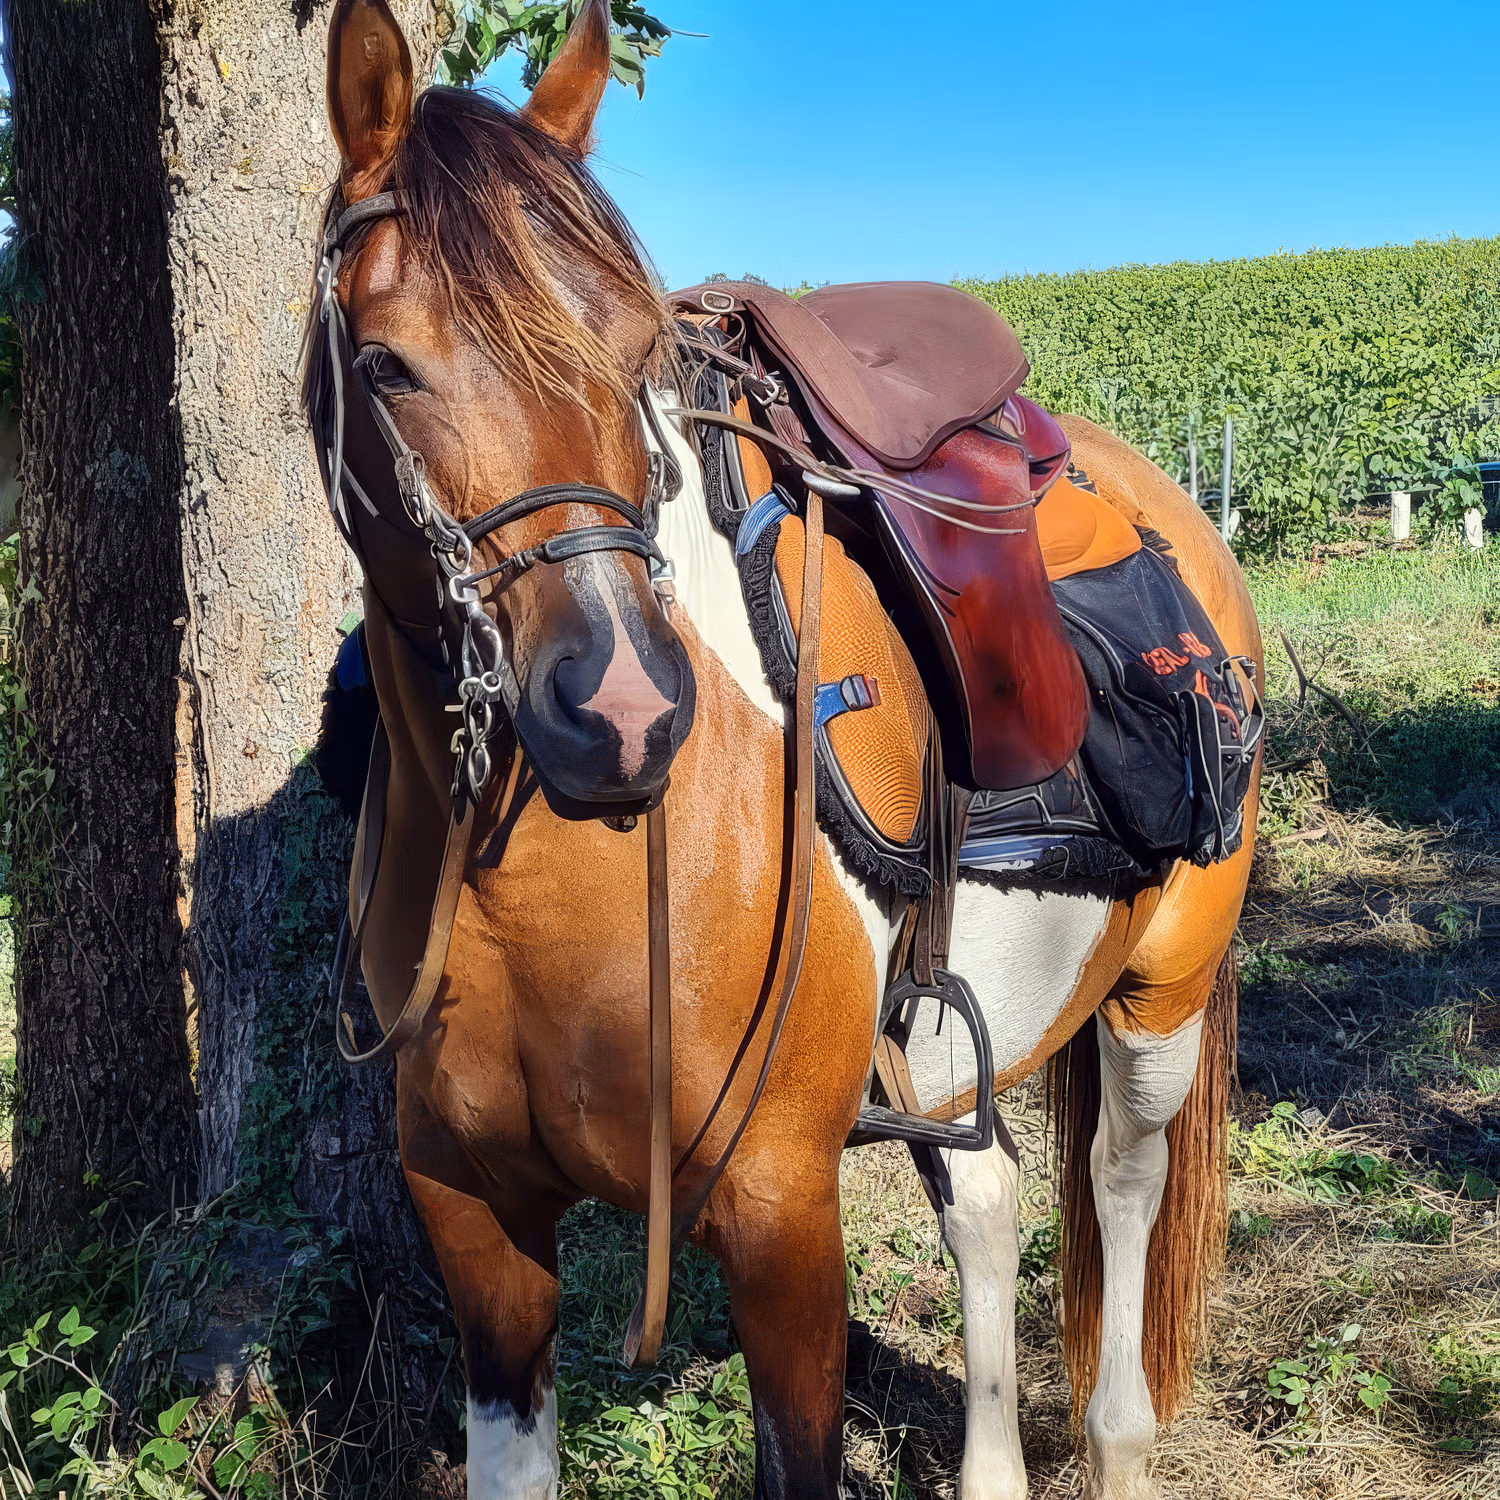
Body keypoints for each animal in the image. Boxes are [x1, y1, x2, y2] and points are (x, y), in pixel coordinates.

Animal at [308, 3, 1262, 1497]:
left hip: (1160, 992)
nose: (625, 711)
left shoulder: (780, 1218)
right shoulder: (478, 1232)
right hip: (944, 1045)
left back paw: (1118, 1439)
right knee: (988, 1206)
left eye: (635, 354)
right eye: (386, 363)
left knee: (1122, 1182)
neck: (544, 891)